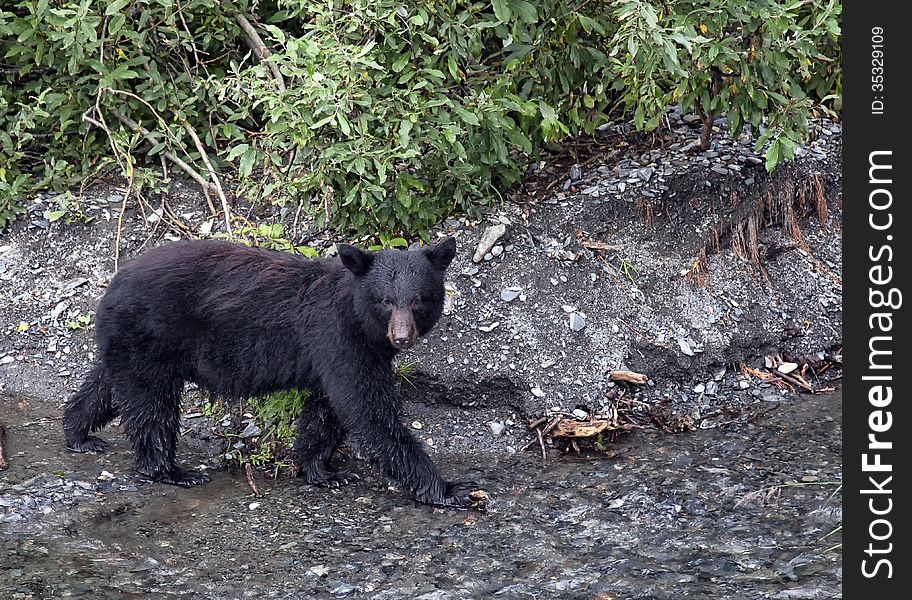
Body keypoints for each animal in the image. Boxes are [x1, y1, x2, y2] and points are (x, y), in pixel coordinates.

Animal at [63, 239, 478, 506]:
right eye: (386, 301)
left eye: (419, 300)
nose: (402, 337)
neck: (358, 318)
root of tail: (111, 283)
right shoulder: (338, 339)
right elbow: (367, 410)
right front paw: (450, 489)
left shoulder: (333, 355)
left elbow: (325, 411)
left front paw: (324, 471)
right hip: (151, 336)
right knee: (151, 405)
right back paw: (170, 470)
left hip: (128, 344)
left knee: (107, 384)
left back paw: (78, 433)